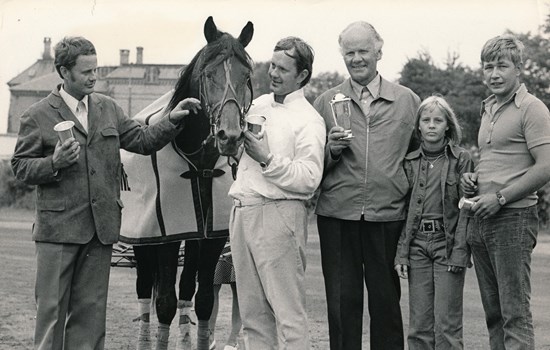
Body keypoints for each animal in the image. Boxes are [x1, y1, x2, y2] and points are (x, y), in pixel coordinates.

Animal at [118, 17, 254, 350]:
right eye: (207, 73)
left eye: (247, 74)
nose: (230, 136)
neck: (199, 161)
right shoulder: (166, 237)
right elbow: (164, 302)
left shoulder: (209, 236)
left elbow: (203, 299)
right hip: (143, 240)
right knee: (145, 289)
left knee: (186, 290)